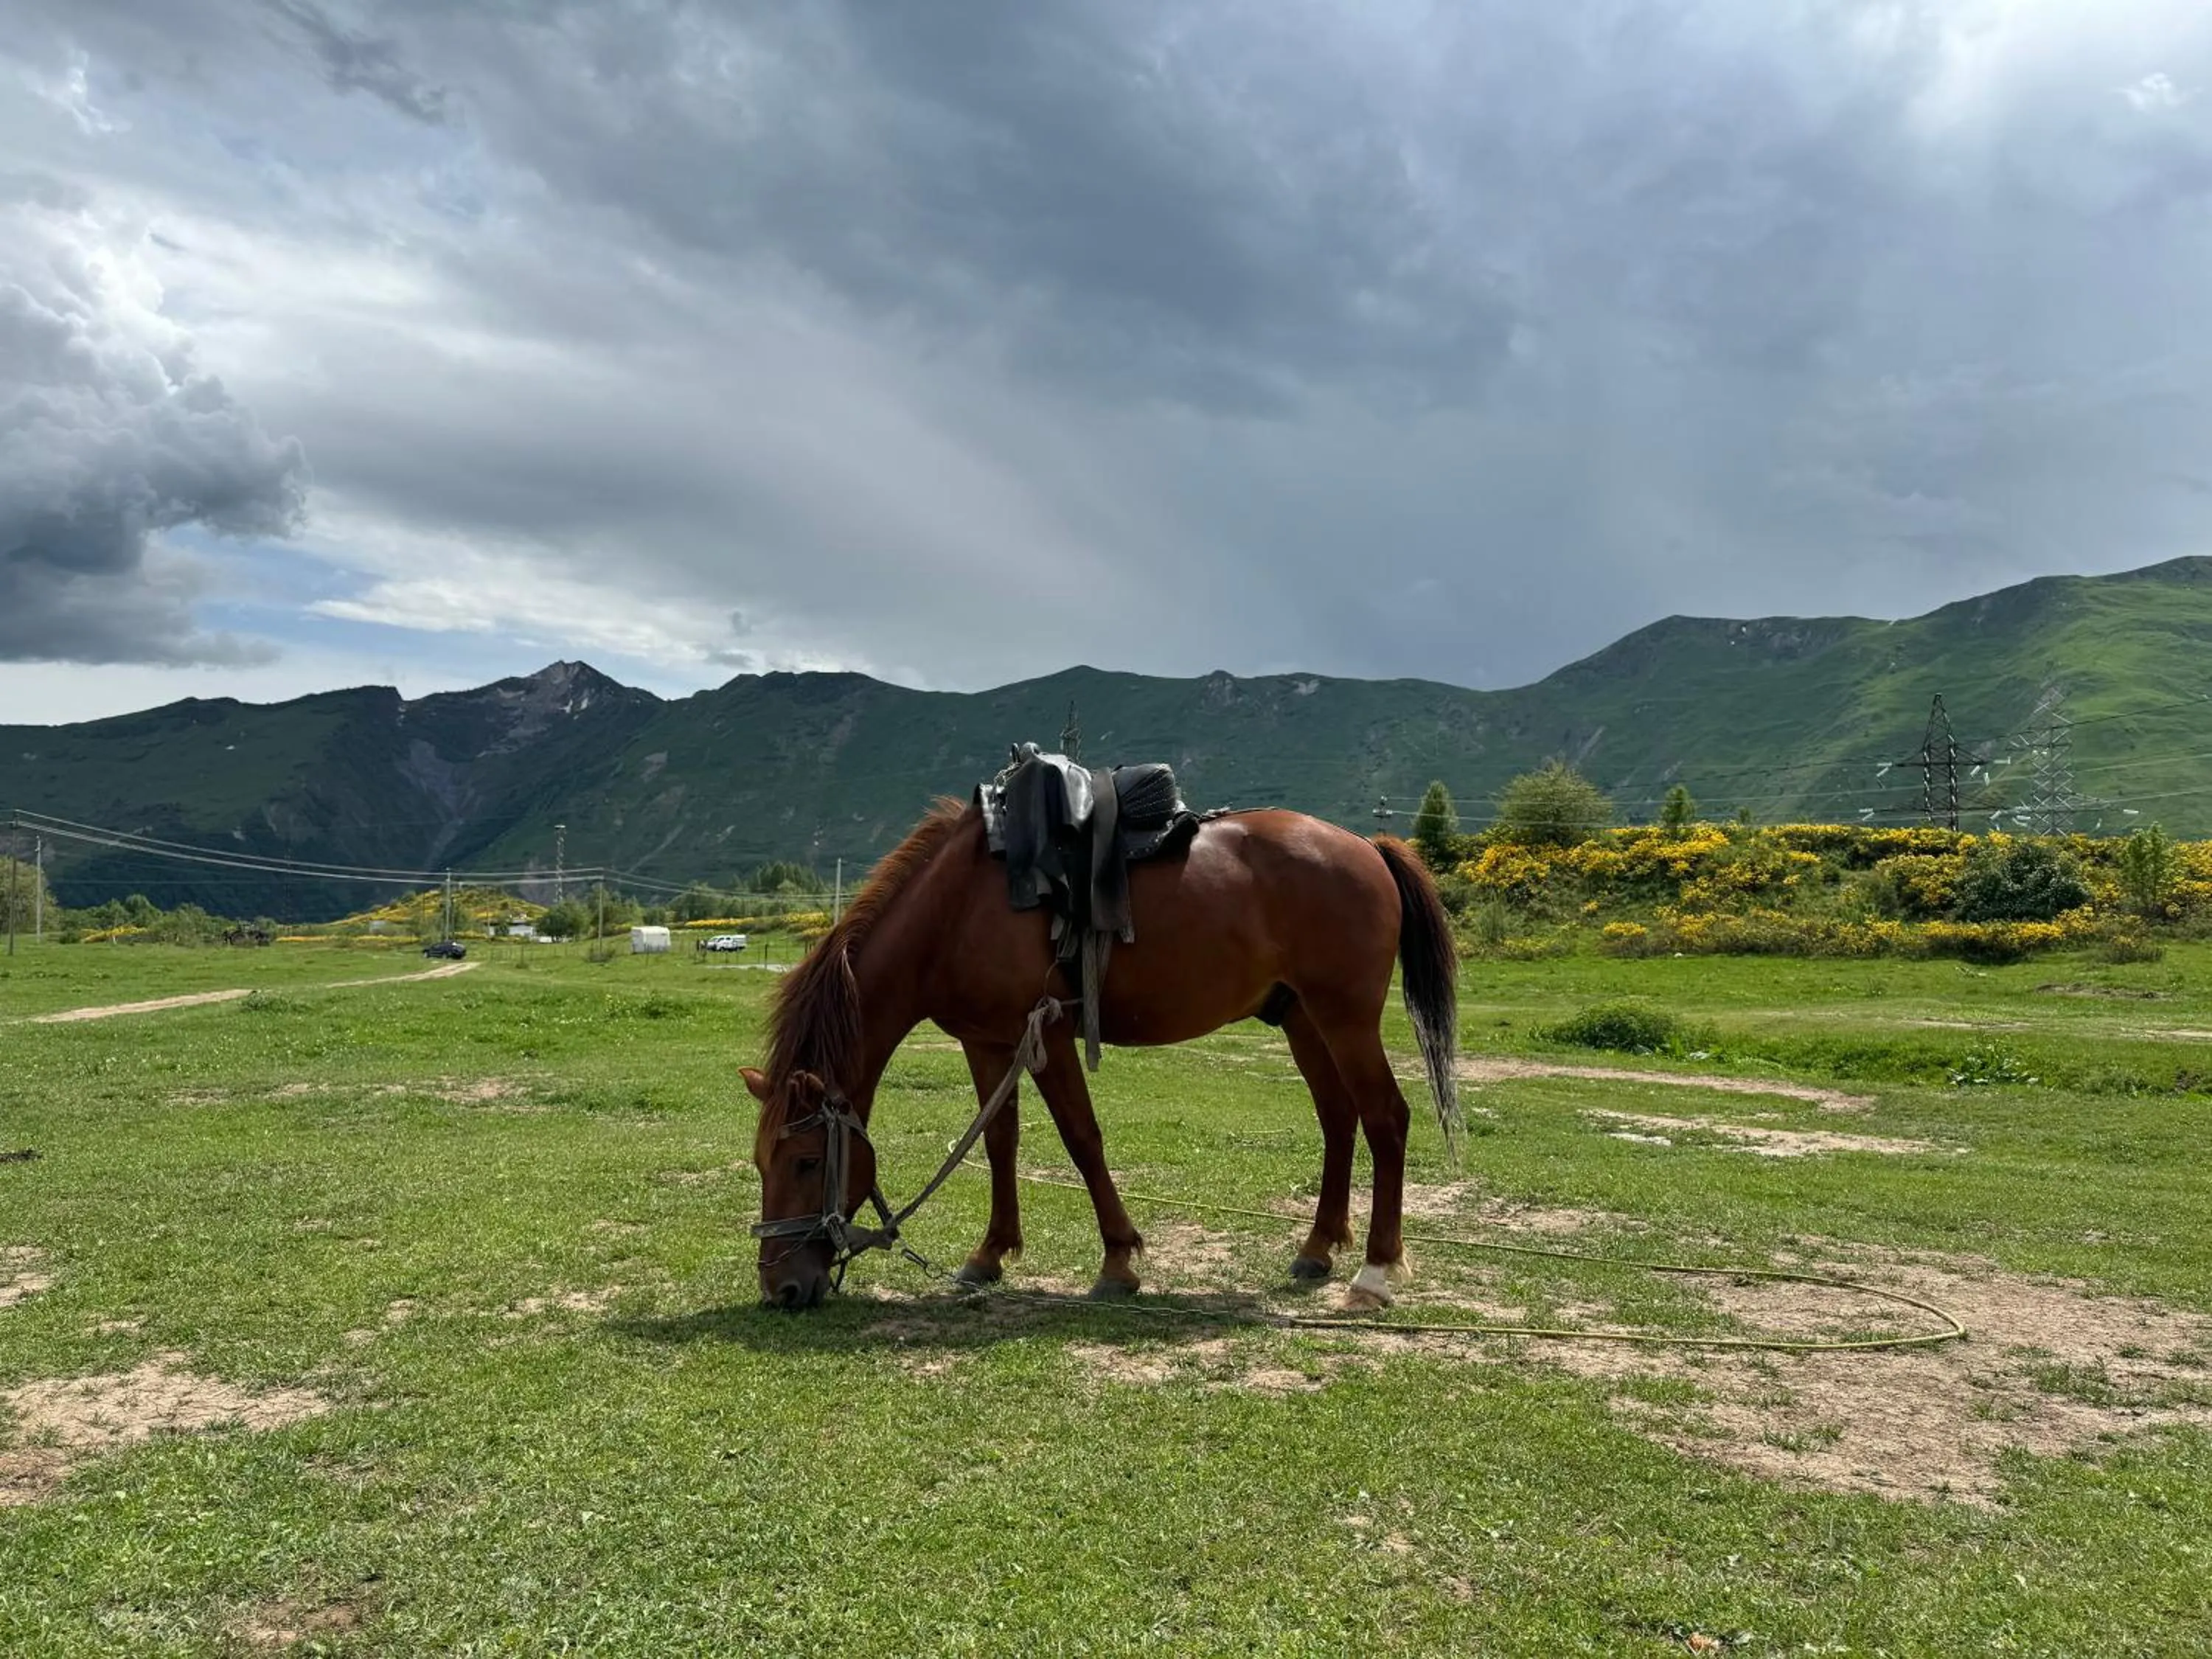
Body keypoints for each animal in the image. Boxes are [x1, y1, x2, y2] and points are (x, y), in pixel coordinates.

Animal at [741, 797, 1461, 1311]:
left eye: (807, 1161)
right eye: (761, 1163)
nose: (781, 1288)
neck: (957, 910)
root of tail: (1367, 846)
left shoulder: (1049, 1034)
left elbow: (1081, 1138)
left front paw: (1118, 1260)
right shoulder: (985, 1039)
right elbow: (999, 1141)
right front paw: (990, 1255)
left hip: (1345, 1018)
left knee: (1386, 1119)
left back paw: (1374, 1273)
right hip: (1303, 1019)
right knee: (1339, 1119)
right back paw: (1318, 1249)